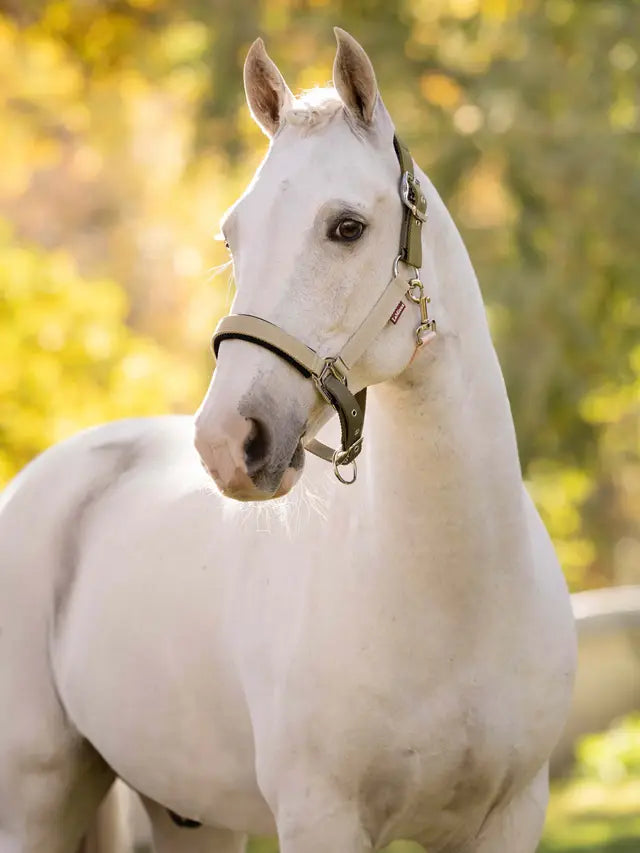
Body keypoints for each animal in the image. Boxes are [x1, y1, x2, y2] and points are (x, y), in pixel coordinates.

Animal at [0, 28, 576, 853]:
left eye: (347, 226)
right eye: (232, 234)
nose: (227, 441)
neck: (455, 599)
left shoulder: (510, 815)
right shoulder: (319, 816)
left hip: (189, 815)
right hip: (35, 798)